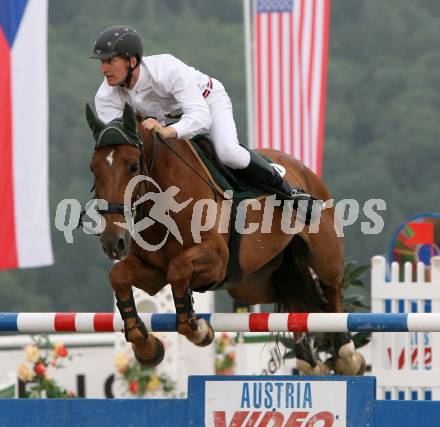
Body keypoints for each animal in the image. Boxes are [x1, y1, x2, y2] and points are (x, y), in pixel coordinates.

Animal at [85, 103, 364, 374]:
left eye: (133, 166)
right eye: (93, 168)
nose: (112, 242)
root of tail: (302, 167)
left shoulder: (216, 260)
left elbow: (178, 269)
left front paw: (198, 330)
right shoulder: (154, 273)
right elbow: (120, 276)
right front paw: (147, 348)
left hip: (325, 254)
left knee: (332, 290)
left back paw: (346, 355)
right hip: (253, 283)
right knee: (293, 298)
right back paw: (308, 360)